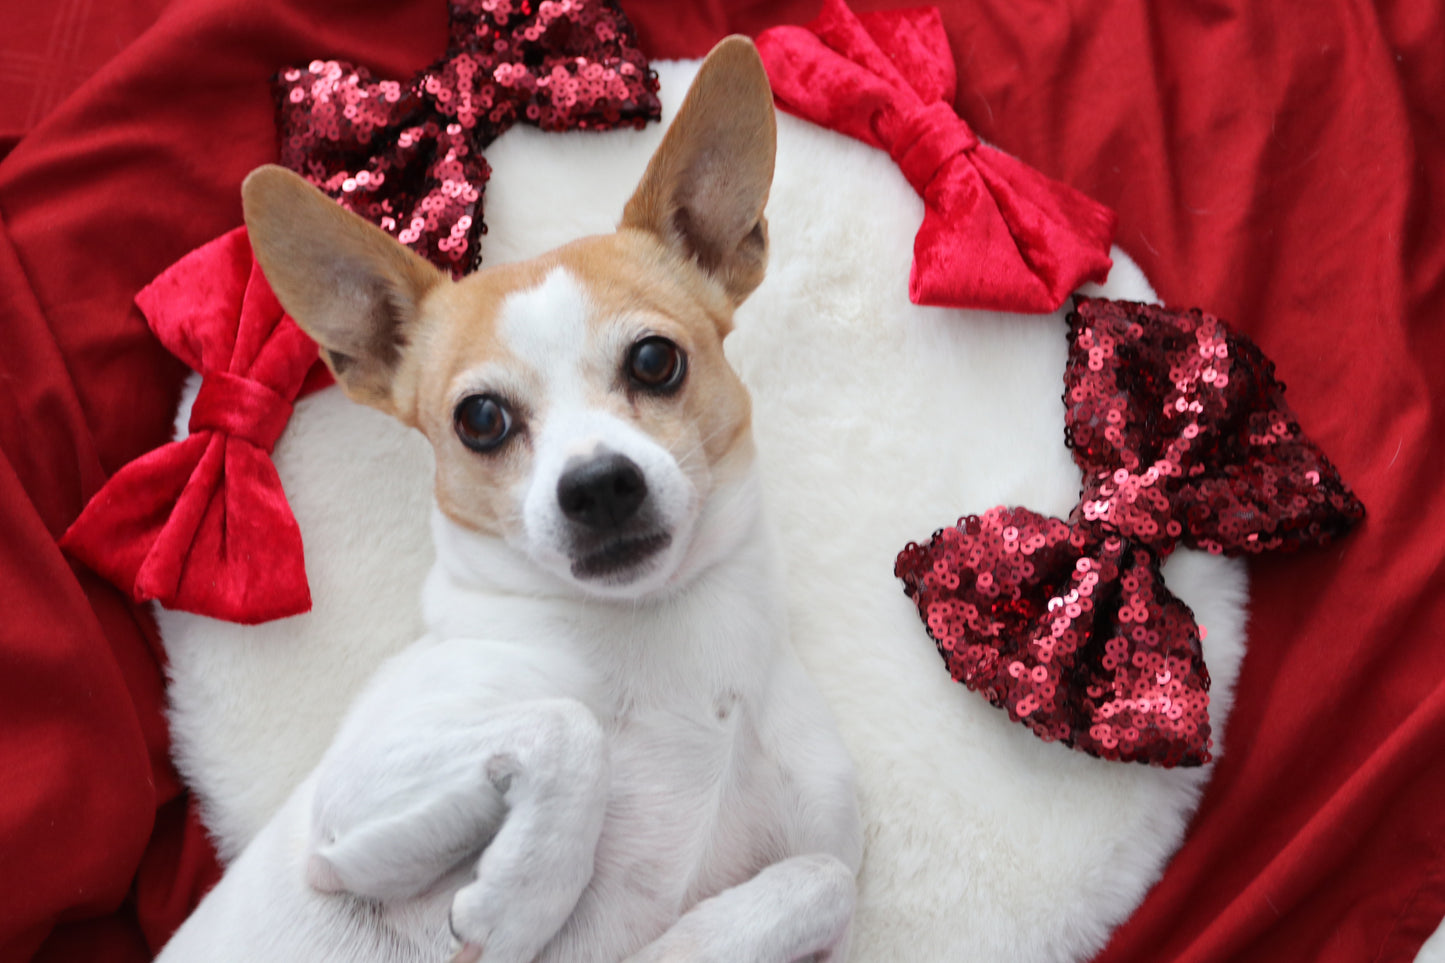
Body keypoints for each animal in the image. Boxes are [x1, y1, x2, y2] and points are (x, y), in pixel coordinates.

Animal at [158, 35, 855, 960]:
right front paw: (523, 897)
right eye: (480, 419)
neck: (663, 640)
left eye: (654, 361)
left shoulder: (827, 870)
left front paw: (680, 942)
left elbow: (821, 879)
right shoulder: (346, 808)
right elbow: (565, 725)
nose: (597, 485)